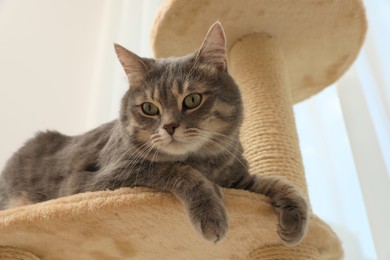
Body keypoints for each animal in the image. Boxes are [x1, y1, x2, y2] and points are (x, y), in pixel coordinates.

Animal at [0, 21, 308, 244]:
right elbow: (175, 170)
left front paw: (296, 218)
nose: (170, 126)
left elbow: (280, 183)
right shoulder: (93, 182)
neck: (206, 163)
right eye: (149, 108)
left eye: (192, 100)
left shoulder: (239, 180)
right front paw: (211, 211)